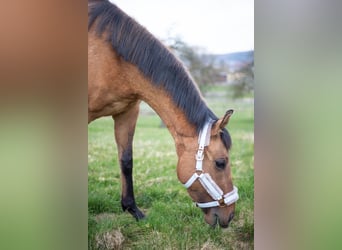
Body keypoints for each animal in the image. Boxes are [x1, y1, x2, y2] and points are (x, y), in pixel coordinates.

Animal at [88, 0, 238, 228]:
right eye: (221, 163)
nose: (229, 216)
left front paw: (133, 210)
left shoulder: (127, 112)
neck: (111, 57)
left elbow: (126, 160)